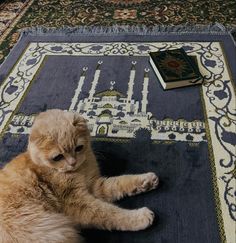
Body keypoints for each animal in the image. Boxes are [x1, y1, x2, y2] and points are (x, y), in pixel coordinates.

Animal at [0, 109, 159, 242]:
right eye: (58, 157)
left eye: (79, 148)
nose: (72, 162)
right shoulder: (76, 202)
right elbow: (110, 213)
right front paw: (140, 217)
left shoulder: (95, 186)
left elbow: (120, 183)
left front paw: (147, 181)